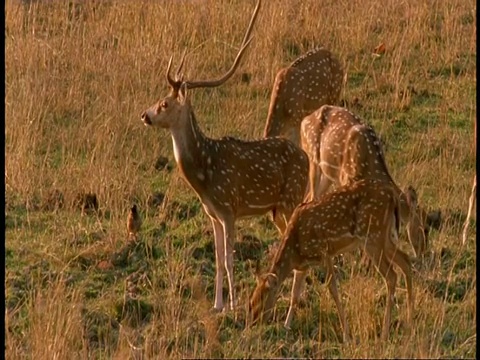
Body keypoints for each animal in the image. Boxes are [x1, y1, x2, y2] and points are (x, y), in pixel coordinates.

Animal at [141, 0, 310, 312]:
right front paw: (217, 305)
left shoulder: (230, 207)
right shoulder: (212, 214)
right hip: (278, 208)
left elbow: (231, 261)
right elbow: (219, 261)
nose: (145, 115)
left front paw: (232, 305)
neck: (204, 177)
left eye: (165, 103)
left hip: (290, 198)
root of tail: (306, 158)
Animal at [249, 179, 414, 342]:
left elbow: (333, 288)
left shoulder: (324, 251)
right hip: (385, 238)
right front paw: (286, 328)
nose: (254, 321)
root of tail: (393, 197)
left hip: (373, 237)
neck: (295, 249)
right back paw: (408, 324)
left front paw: (346, 336)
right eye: (251, 300)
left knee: (392, 275)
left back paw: (385, 334)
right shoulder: (303, 266)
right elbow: (294, 295)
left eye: (263, 298)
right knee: (406, 262)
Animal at [300, 105, 432, 258]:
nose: (423, 254)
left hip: (327, 174)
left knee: (308, 198)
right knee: (311, 197)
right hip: (312, 158)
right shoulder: (346, 179)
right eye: (425, 228)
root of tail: (304, 120)